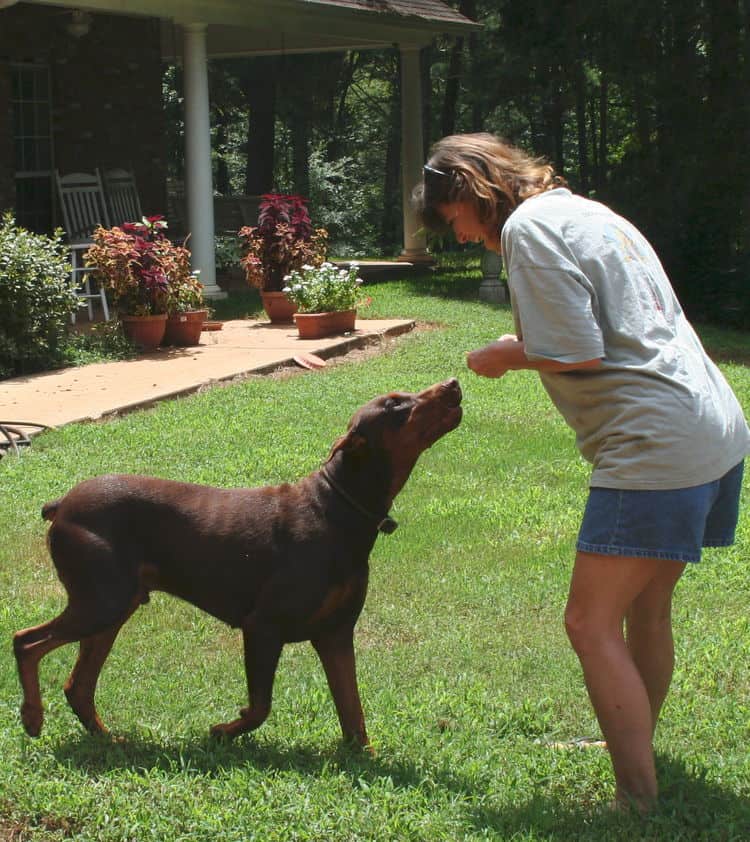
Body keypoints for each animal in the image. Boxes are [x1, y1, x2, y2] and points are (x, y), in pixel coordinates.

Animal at [13, 378, 464, 740]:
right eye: (394, 405)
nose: (454, 383)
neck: (338, 507)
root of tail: (62, 505)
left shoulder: (336, 633)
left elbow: (354, 715)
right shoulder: (262, 626)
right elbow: (261, 706)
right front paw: (224, 731)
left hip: (115, 605)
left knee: (78, 686)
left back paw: (108, 739)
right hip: (103, 601)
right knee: (26, 642)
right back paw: (33, 717)